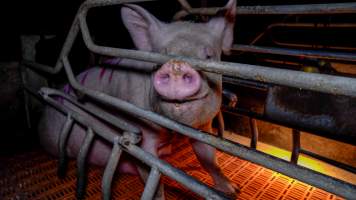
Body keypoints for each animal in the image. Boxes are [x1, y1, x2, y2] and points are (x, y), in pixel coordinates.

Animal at [38, 0, 239, 198]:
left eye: (208, 56)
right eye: (160, 56)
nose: (177, 66)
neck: (173, 131)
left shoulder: (204, 128)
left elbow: (209, 159)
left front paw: (233, 190)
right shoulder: (143, 133)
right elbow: (153, 177)